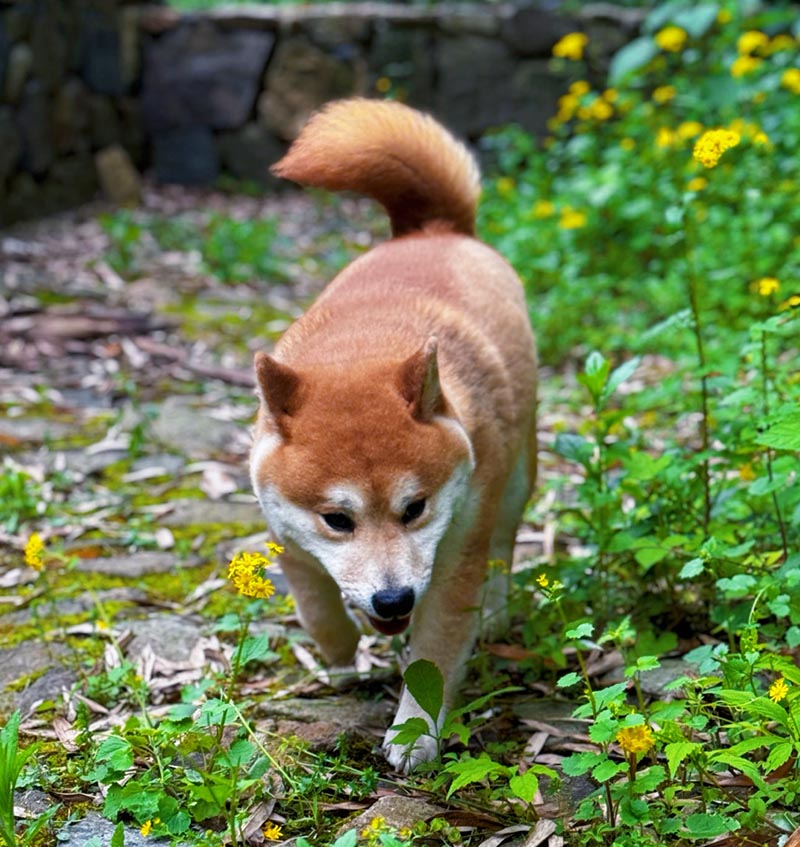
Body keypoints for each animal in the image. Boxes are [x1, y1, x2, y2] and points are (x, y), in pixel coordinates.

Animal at [250, 97, 536, 768]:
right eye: (337, 519)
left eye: (415, 508)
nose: (392, 602)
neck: (367, 341)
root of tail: (433, 231)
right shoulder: (288, 538)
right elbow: (317, 609)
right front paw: (338, 659)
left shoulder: (456, 561)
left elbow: (433, 656)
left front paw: (414, 731)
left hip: (516, 478)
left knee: (506, 546)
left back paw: (498, 612)